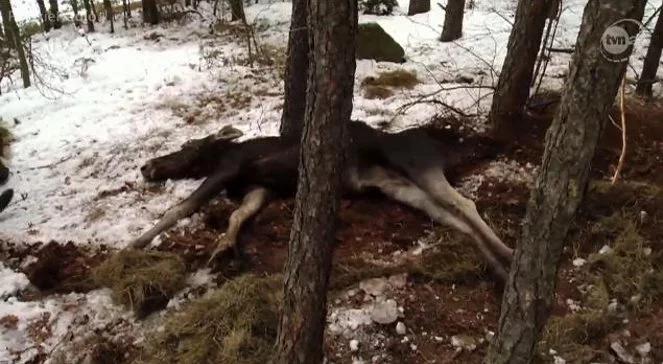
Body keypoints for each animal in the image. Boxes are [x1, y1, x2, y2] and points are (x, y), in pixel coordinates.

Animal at [130, 121, 512, 278]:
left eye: (187, 146)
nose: (145, 165)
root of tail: (444, 144)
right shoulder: (259, 189)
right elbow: (238, 216)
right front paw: (225, 245)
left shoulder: (228, 169)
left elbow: (181, 207)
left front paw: (137, 242)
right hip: (399, 187)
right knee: (453, 219)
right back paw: (500, 268)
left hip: (419, 168)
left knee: (465, 205)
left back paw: (508, 254)